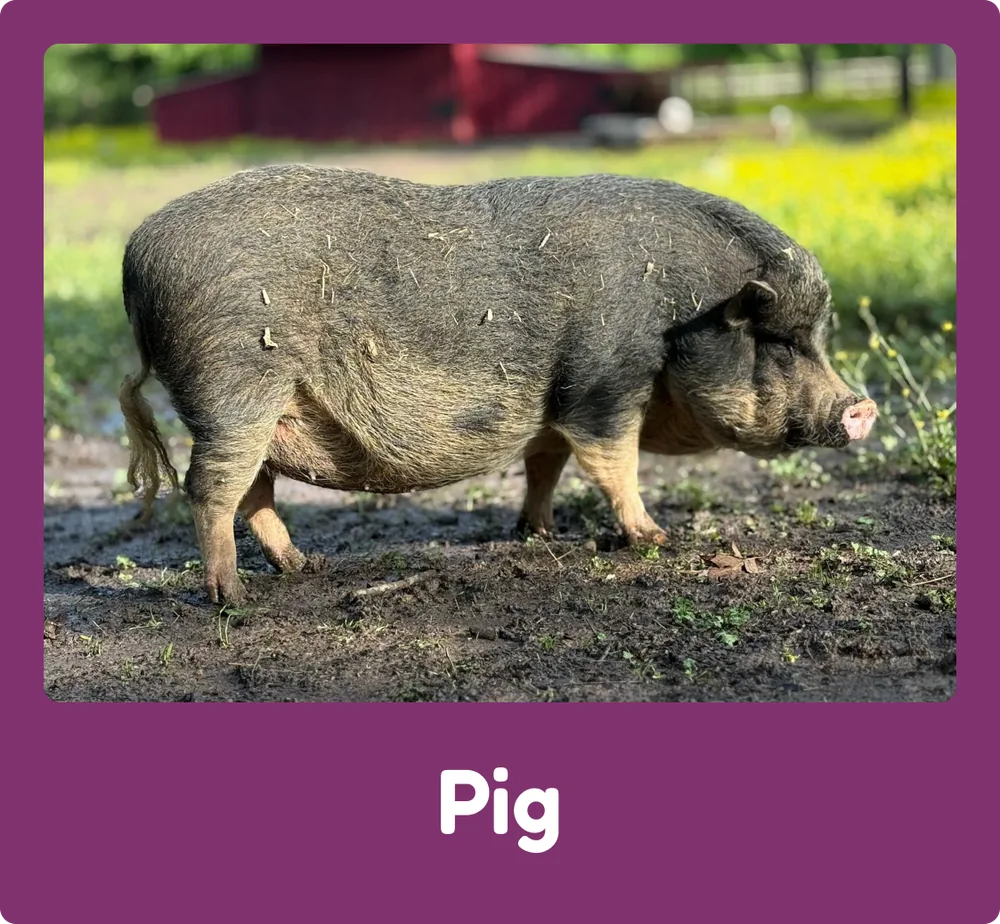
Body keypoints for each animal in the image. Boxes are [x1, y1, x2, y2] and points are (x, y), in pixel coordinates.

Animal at [119, 166, 877, 604]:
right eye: (778, 341)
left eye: (816, 337)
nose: (862, 407)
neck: (681, 312)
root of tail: (135, 259)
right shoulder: (605, 384)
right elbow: (614, 464)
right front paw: (654, 538)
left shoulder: (555, 404)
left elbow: (547, 463)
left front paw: (538, 532)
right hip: (235, 388)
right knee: (211, 489)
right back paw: (232, 599)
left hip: (260, 408)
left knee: (253, 493)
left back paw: (305, 570)